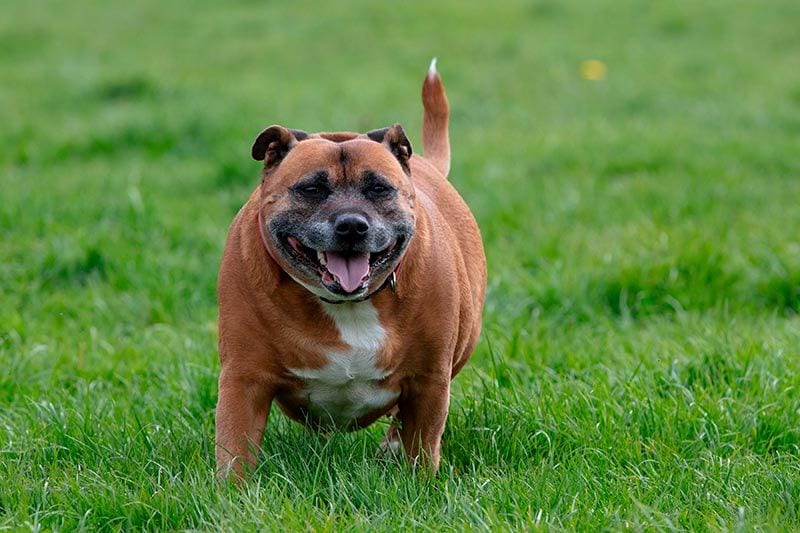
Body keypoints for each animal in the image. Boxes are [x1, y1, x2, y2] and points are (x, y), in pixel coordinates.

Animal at [216, 59, 484, 478]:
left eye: (379, 188)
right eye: (311, 189)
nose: (352, 225)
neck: (346, 304)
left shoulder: (429, 381)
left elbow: (422, 444)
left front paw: (418, 482)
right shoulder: (244, 378)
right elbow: (234, 451)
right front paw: (231, 491)